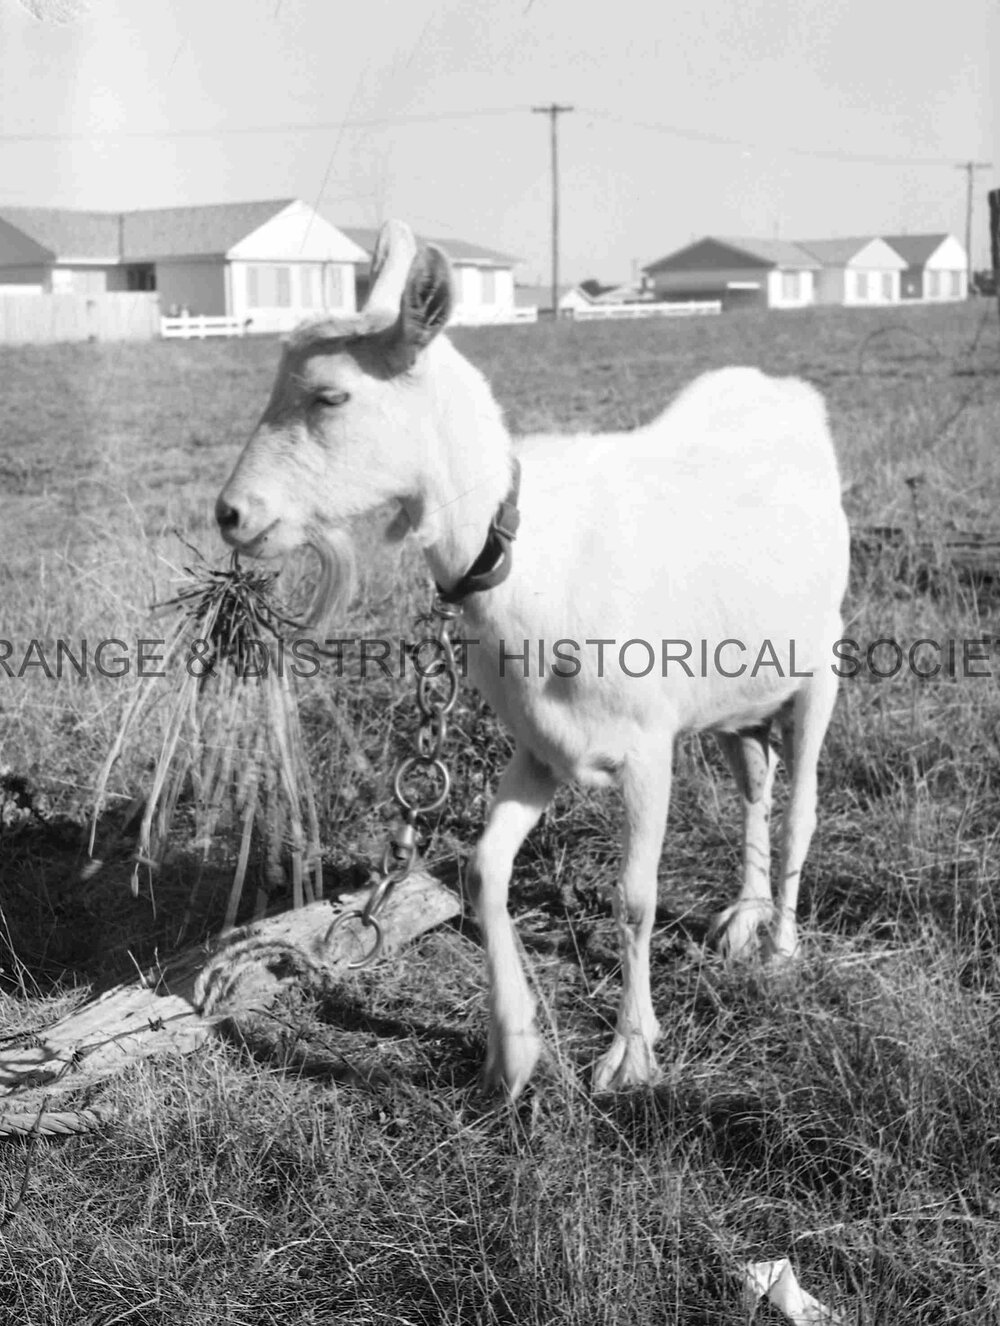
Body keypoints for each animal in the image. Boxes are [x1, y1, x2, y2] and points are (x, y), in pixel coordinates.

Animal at [215, 221, 850, 1097]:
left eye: (330, 396)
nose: (231, 514)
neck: (523, 551)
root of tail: (791, 395)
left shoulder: (647, 747)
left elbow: (635, 896)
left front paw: (630, 1052)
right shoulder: (541, 746)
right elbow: (484, 870)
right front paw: (511, 1051)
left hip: (820, 663)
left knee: (801, 808)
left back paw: (781, 948)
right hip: (737, 693)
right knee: (756, 782)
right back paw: (744, 916)